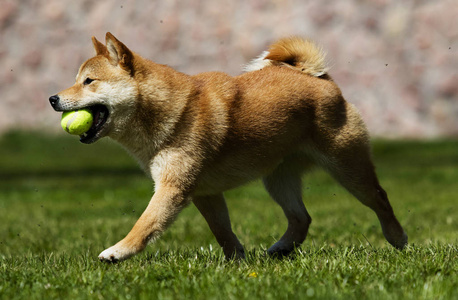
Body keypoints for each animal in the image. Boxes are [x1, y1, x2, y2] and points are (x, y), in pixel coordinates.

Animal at [50, 33, 408, 262]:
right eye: (77, 79)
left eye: (88, 82)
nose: (53, 98)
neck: (165, 110)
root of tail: (320, 79)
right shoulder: (204, 192)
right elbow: (222, 230)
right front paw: (238, 261)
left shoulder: (172, 189)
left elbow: (145, 224)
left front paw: (117, 251)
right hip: (277, 178)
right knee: (301, 218)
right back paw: (281, 249)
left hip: (347, 168)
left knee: (380, 198)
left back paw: (397, 238)